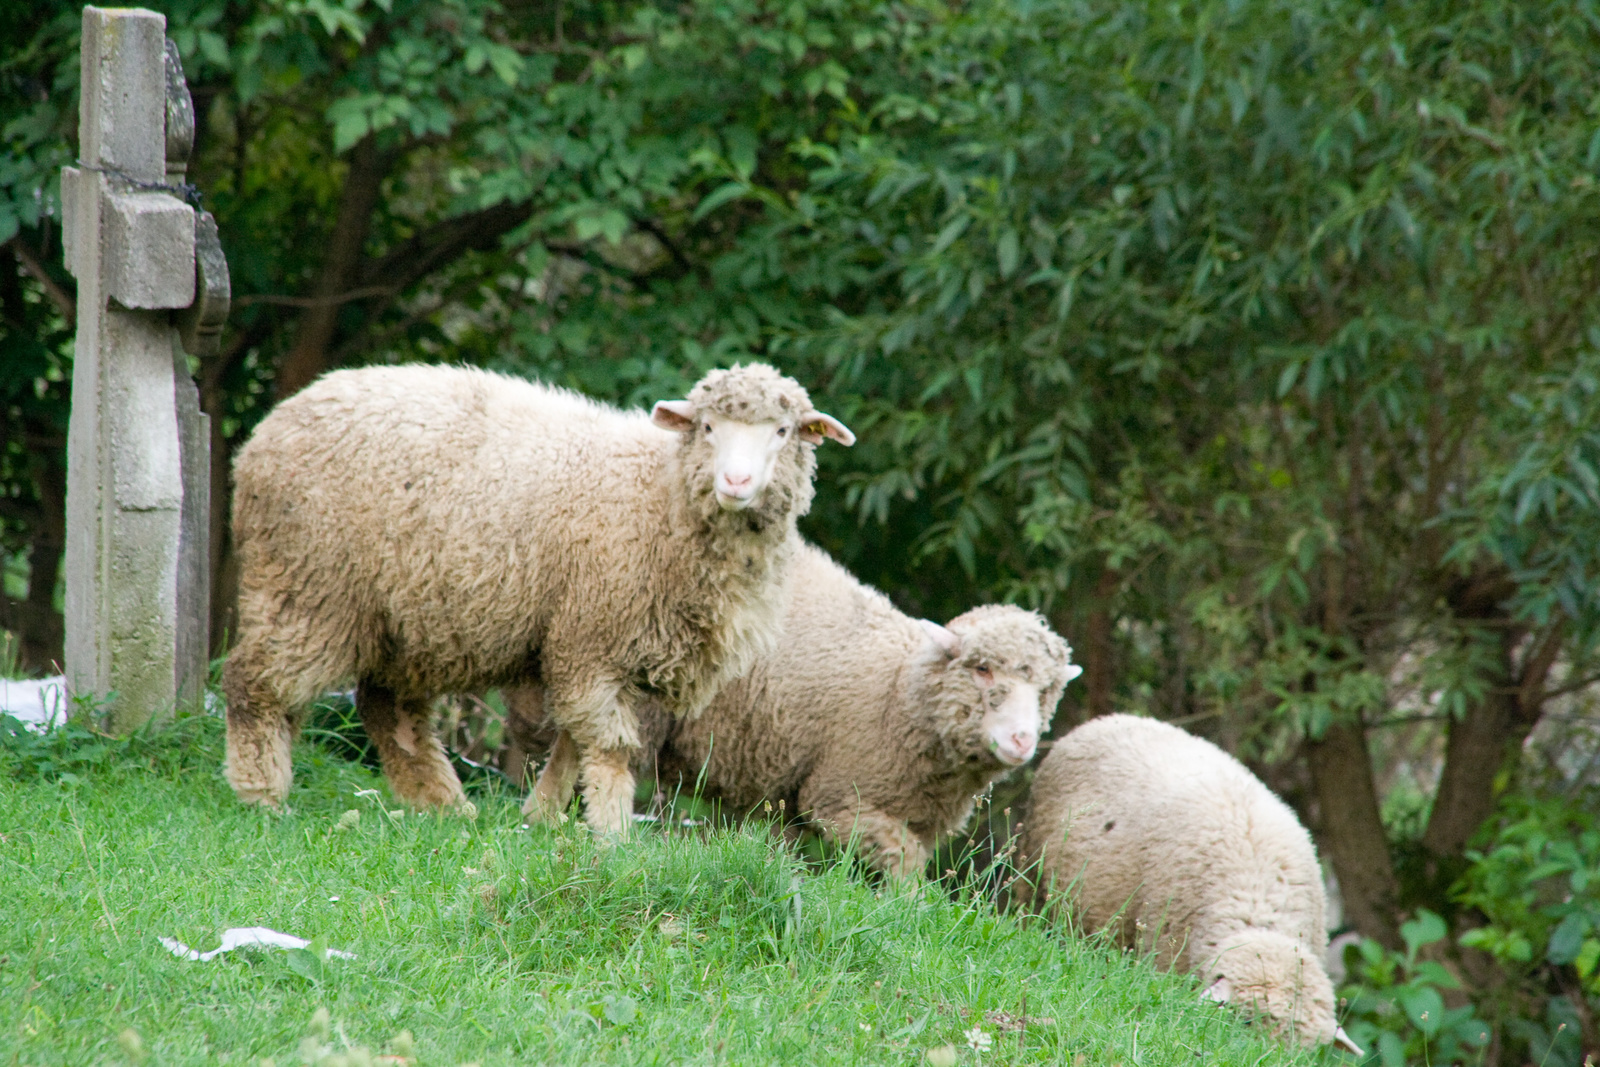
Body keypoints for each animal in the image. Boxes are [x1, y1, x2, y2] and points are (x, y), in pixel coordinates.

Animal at [222, 358, 864, 831]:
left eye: (782, 432)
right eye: (708, 428)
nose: (736, 481)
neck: (661, 495)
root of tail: (270, 428)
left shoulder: (616, 648)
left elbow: (576, 743)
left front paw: (546, 816)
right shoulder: (592, 633)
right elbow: (608, 745)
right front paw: (611, 833)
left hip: (402, 620)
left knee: (388, 710)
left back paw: (441, 805)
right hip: (307, 586)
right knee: (256, 682)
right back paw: (261, 793)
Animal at [518, 543, 1081, 876]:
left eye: (1047, 690)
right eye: (982, 669)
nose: (1022, 741)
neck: (901, 691)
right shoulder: (839, 798)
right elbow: (905, 861)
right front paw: (911, 911)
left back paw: (538, 818)